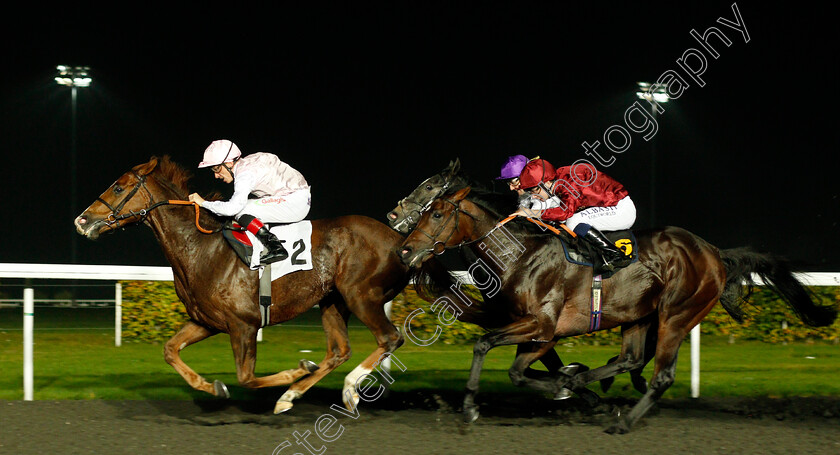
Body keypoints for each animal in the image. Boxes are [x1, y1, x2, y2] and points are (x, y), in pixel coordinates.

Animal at [76, 155, 492, 416]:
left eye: (117, 188)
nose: (82, 221)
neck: (201, 246)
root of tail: (401, 240)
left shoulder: (243, 324)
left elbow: (246, 377)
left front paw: (292, 371)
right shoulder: (207, 321)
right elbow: (169, 351)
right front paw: (214, 387)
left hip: (362, 296)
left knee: (388, 339)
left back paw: (340, 389)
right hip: (333, 301)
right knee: (339, 351)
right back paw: (294, 396)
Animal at [398, 185, 836, 434]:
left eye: (437, 213)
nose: (405, 249)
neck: (519, 253)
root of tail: (713, 252)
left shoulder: (540, 325)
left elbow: (486, 346)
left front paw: (471, 408)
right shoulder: (538, 331)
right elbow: (518, 371)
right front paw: (572, 386)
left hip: (677, 314)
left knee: (661, 375)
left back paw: (624, 421)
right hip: (637, 314)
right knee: (630, 359)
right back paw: (592, 385)